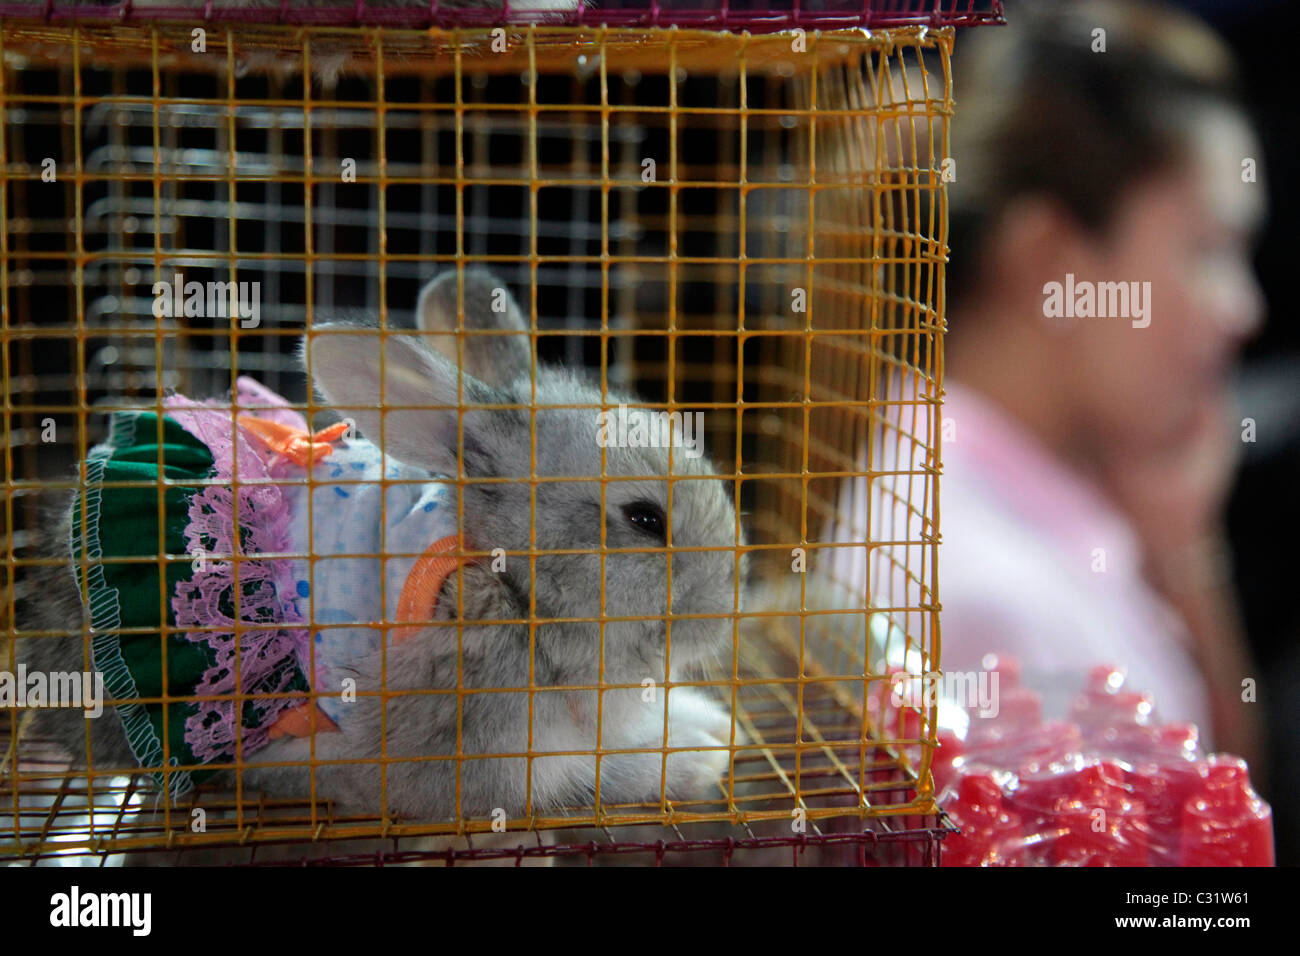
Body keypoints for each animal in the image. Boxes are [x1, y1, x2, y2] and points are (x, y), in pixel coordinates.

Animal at [12, 270, 743, 822]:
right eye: (644, 519)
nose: (719, 621)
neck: (510, 578)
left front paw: (710, 723)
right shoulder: (496, 762)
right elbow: (599, 775)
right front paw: (699, 752)